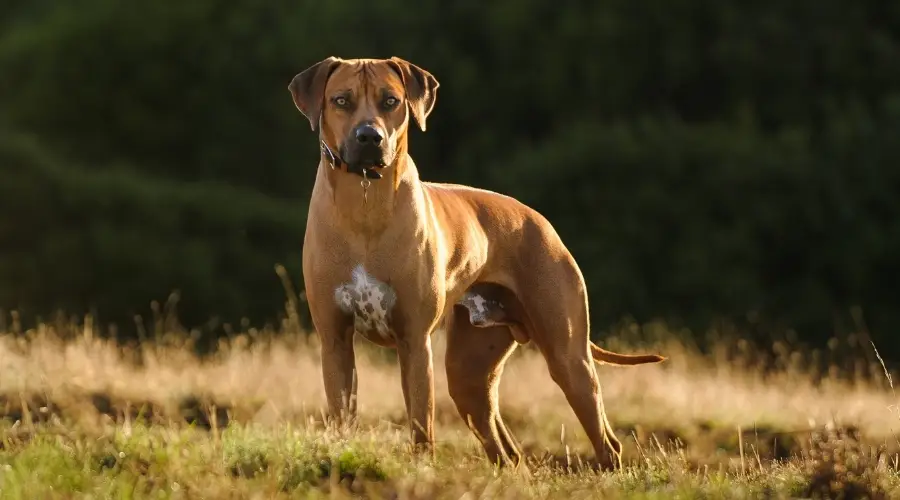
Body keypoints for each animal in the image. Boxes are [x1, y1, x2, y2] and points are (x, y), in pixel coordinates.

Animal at [290, 56, 668, 470]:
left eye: (390, 101)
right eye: (341, 100)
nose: (369, 137)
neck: (364, 201)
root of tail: (541, 220)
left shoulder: (414, 341)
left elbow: (421, 423)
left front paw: (422, 469)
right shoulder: (335, 340)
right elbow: (343, 414)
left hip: (569, 356)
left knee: (605, 440)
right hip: (468, 372)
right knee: (508, 451)